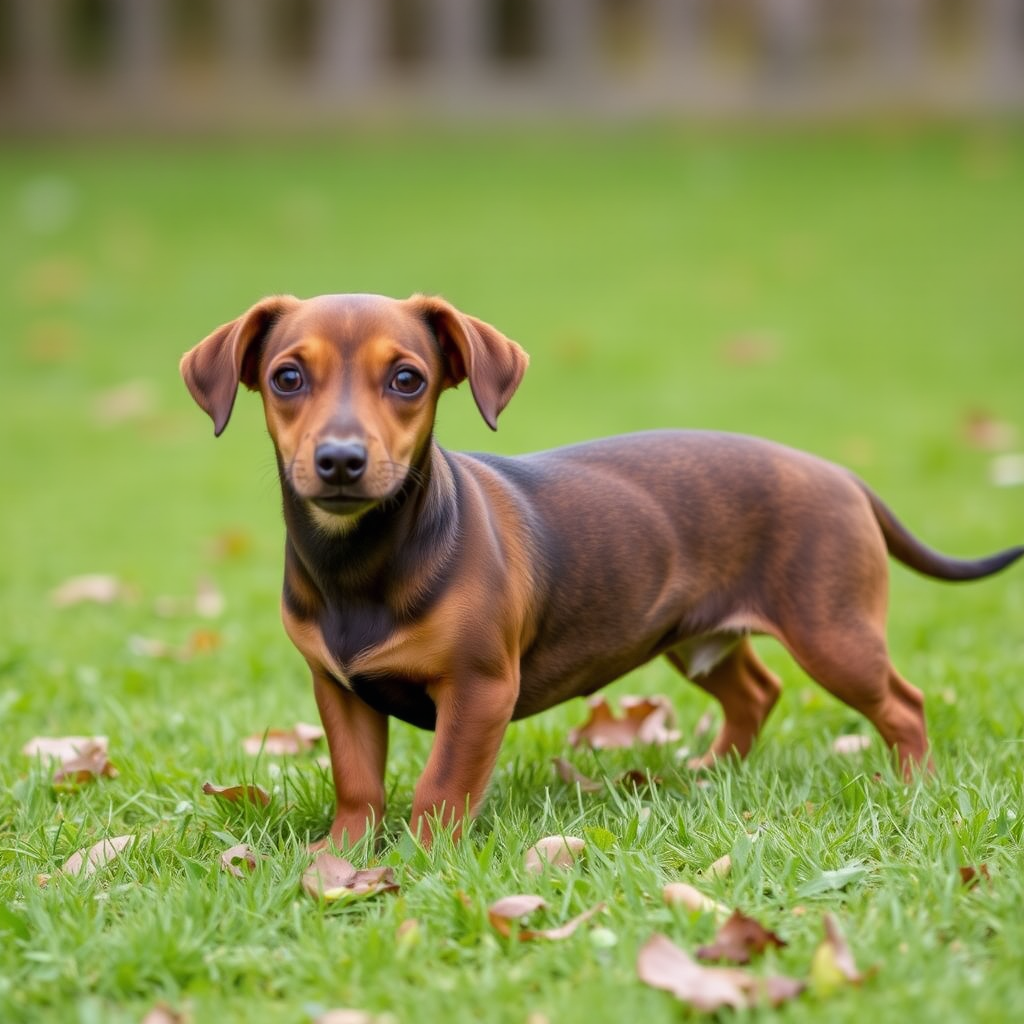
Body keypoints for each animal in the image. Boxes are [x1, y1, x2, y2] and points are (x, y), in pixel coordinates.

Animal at [184, 290, 1024, 847]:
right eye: (288, 378)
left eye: (408, 380)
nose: (340, 461)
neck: (361, 559)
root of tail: (841, 474)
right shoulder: (339, 689)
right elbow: (358, 785)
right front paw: (343, 860)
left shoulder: (479, 691)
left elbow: (440, 788)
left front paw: (420, 863)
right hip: (698, 636)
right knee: (756, 692)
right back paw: (710, 771)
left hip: (834, 634)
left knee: (903, 706)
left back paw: (915, 790)